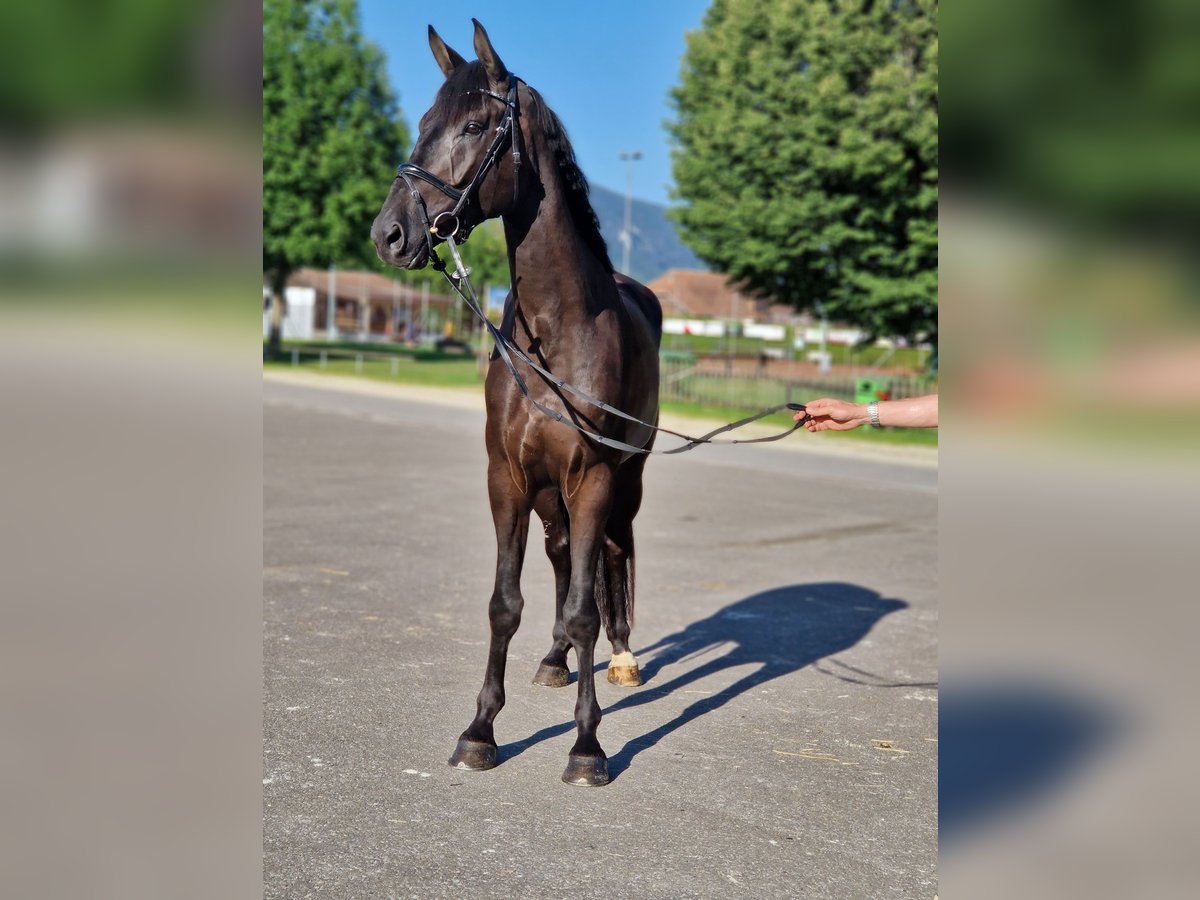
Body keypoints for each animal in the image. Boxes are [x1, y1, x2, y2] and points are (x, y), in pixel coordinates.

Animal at [369, 17, 662, 787]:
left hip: (626, 478)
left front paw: (587, 746)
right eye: (423, 123)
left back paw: (622, 656)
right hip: (549, 490)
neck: (556, 331)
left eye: (475, 125)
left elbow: (588, 604)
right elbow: (506, 603)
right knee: (563, 559)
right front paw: (481, 731)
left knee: (615, 553)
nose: (390, 234)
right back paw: (556, 659)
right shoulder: (507, 476)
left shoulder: (593, 477)